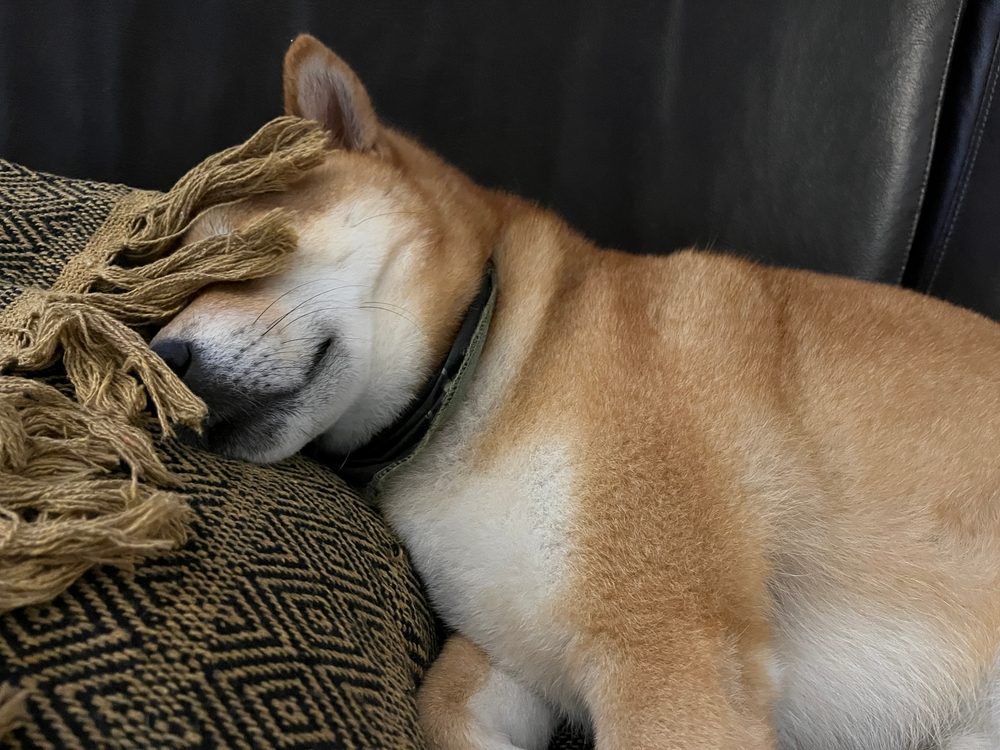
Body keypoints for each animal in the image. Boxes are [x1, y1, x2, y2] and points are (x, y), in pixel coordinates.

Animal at [150, 33, 1000, 750]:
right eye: (155, 308)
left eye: (232, 251)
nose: (166, 355)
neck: (487, 377)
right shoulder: (514, 648)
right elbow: (443, 702)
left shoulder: (665, 653)